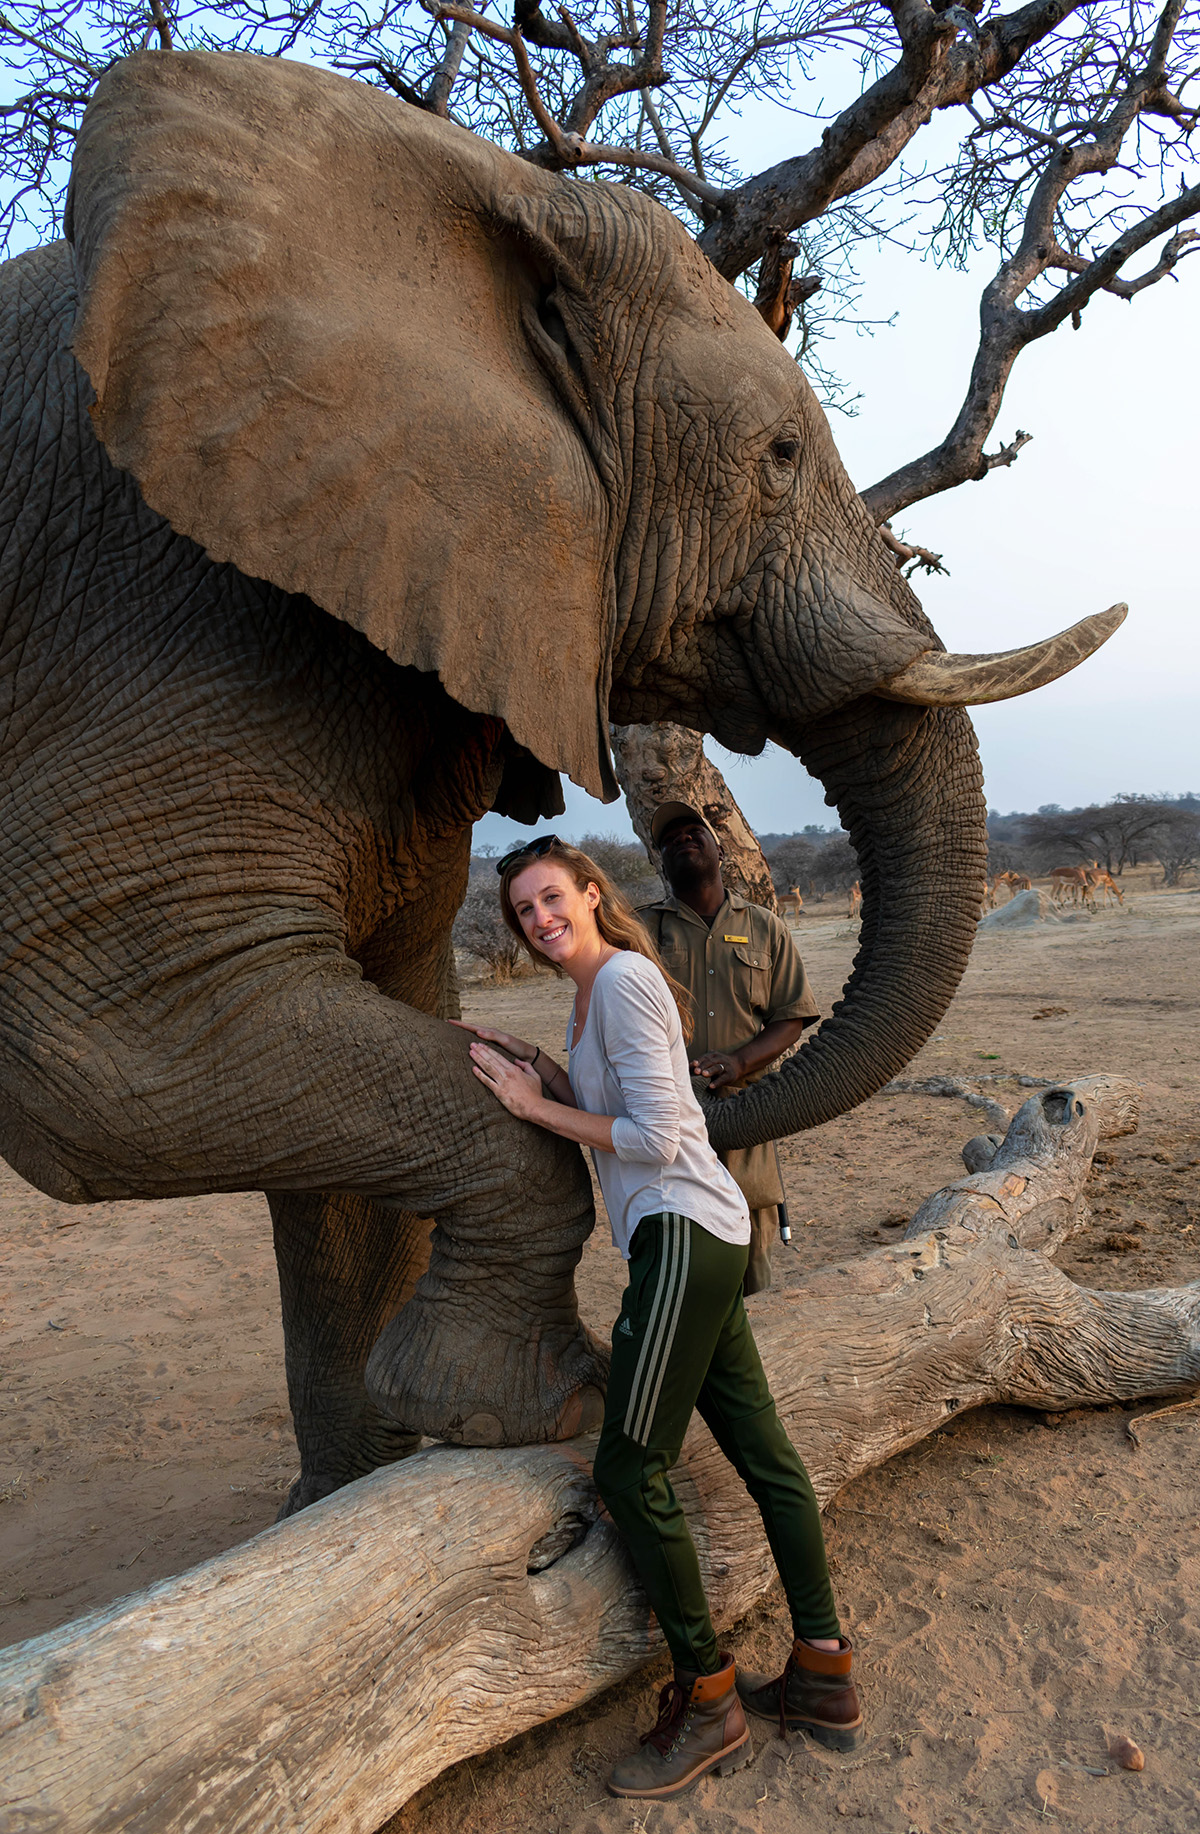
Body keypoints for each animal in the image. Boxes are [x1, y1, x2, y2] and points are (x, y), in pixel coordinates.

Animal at [2, 53, 1130, 1518]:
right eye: (778, 456)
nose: (704, 1092)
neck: (491, 194)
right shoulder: (172, 600)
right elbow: (107, 1044)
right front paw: (514, 1405)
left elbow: (373, 1048)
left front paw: (366, 1480)